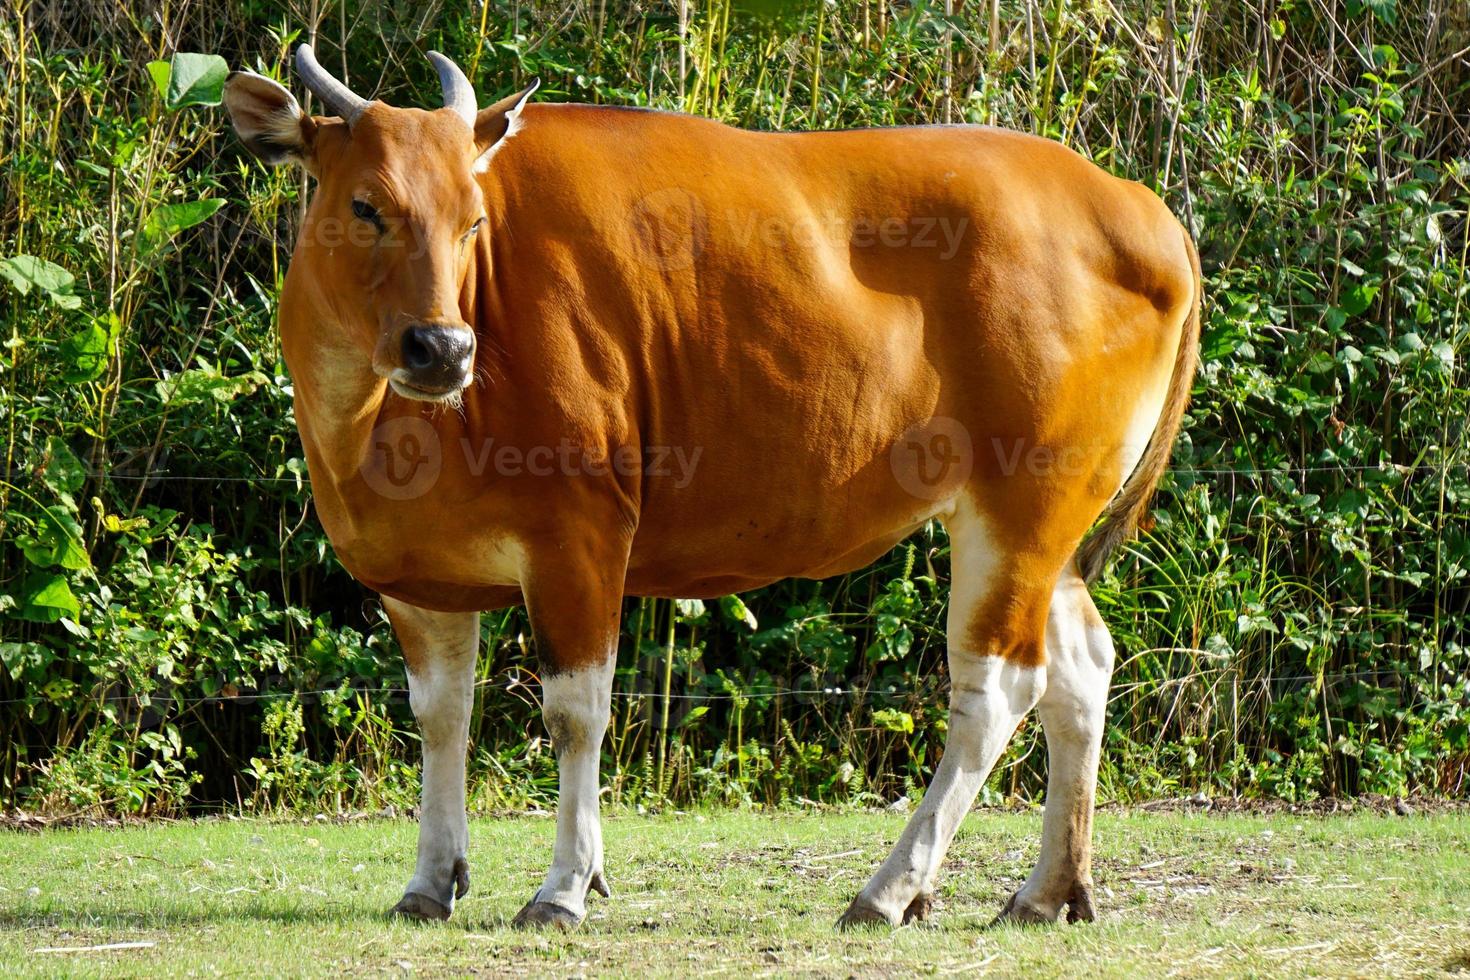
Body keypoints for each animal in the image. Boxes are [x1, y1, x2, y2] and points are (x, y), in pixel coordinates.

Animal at [223, 45, 1199, 934]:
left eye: (472, 220)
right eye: (366, 206)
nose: (443, 348)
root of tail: (1140, 207)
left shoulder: (579, 542)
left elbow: (575, 714)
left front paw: (565, 887)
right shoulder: (419, 580)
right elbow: (440, 718)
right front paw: (431, 882)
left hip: (1018, 511)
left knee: (995, 692)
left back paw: (888, 890)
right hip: (1048, 529)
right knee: (1083, 668)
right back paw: (1047, 891)